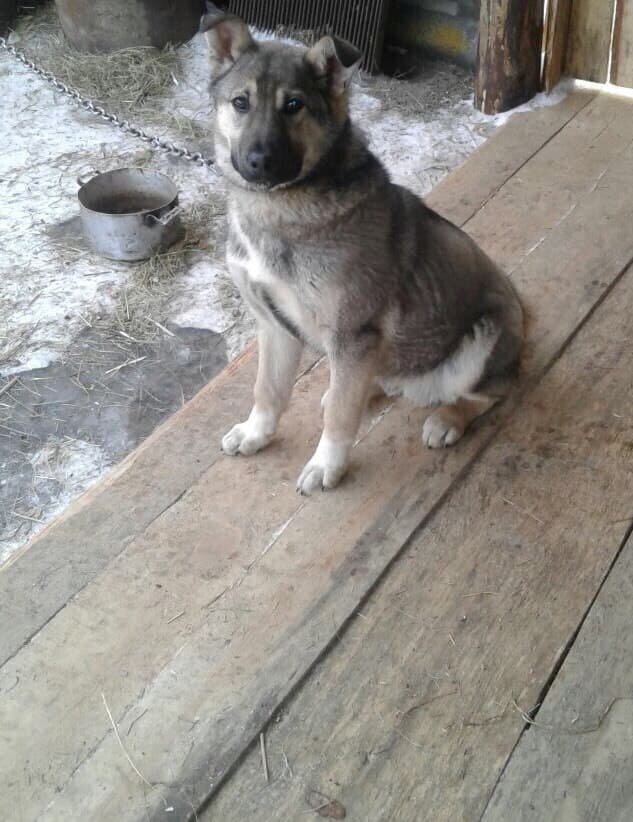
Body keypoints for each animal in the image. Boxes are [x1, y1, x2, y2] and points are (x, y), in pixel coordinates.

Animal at [201, 11, 524, 496]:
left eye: (293, 105)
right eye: (241, 103)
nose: (259, 162)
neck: (280, 207)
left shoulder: (352, 332)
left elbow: (339, 418)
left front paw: (326, 466)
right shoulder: (274, 324)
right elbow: (268, 389)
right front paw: (257, 433)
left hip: (481, 338)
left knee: (487, 393)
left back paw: (448, 418)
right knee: (372, 380)